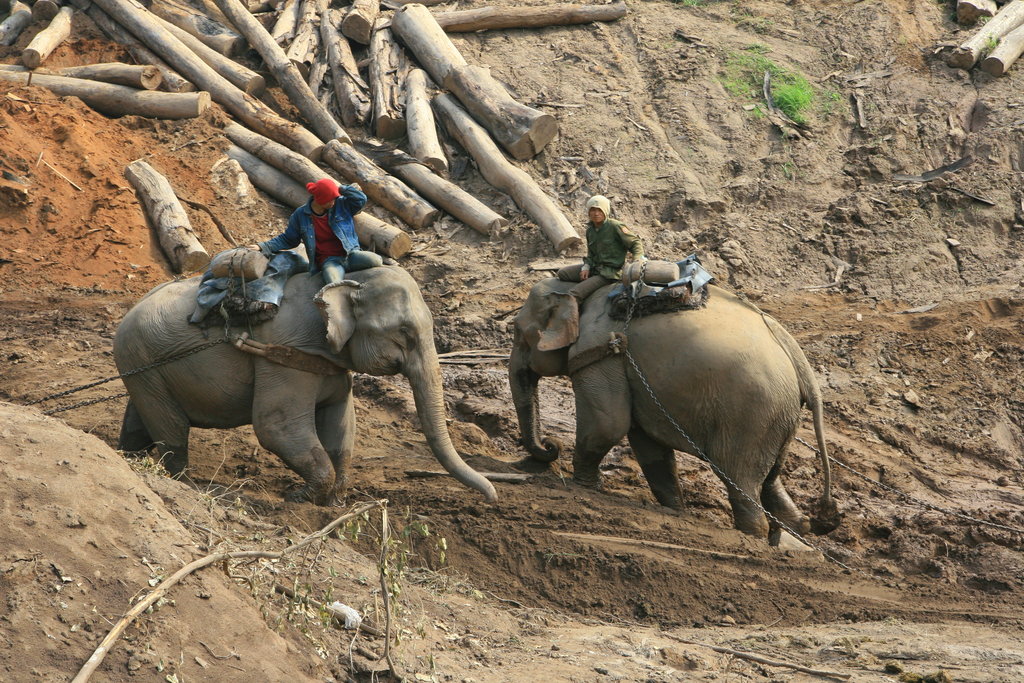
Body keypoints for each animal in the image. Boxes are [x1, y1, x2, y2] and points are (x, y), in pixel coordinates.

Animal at [113, 266, 497, 505]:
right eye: (404, 333)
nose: (492, 497)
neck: (344, 280)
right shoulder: (284, 352)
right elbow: (275, 425)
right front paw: (299, 499)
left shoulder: (329, 362)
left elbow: (340, 426)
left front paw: (335, 501)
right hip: (139, 359)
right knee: (171, 431)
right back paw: (182, 481)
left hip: (145, 369)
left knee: (141, 421)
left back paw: (127, 457)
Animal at [509, 279, 840, 539]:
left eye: (517, 332)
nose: (550, 446)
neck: (578, 290)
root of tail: (800, 361)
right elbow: (648, 444)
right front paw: (675, 509)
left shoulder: (602, 354)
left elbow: (609, 425)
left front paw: (585, 487)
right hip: (778, 418)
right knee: (771, 480)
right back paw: (792, 532)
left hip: (753, 415)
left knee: (740, 479)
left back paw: (752, 536)